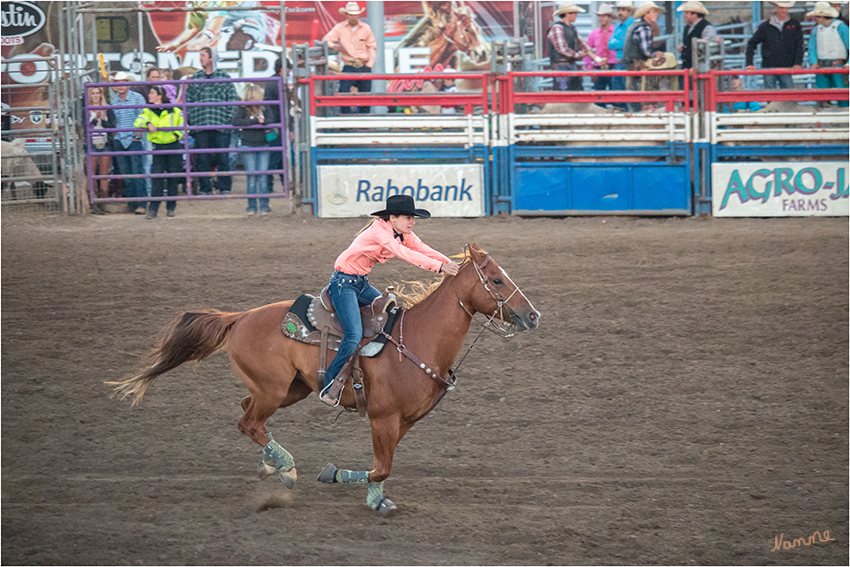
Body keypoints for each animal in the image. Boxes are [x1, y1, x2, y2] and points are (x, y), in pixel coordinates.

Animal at [107, 242, 536, 516]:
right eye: (497, 280)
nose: (533, 315)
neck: (416, 339)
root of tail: (240, 317)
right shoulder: (382, 418)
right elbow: (381, 466)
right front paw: (335, 475)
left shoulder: (404, 422)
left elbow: (384, 466)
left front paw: (376, 499)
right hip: (273, 388)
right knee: (249, 422)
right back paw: (286, 468)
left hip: (287, 390)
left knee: (248, 414)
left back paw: (269, 465)